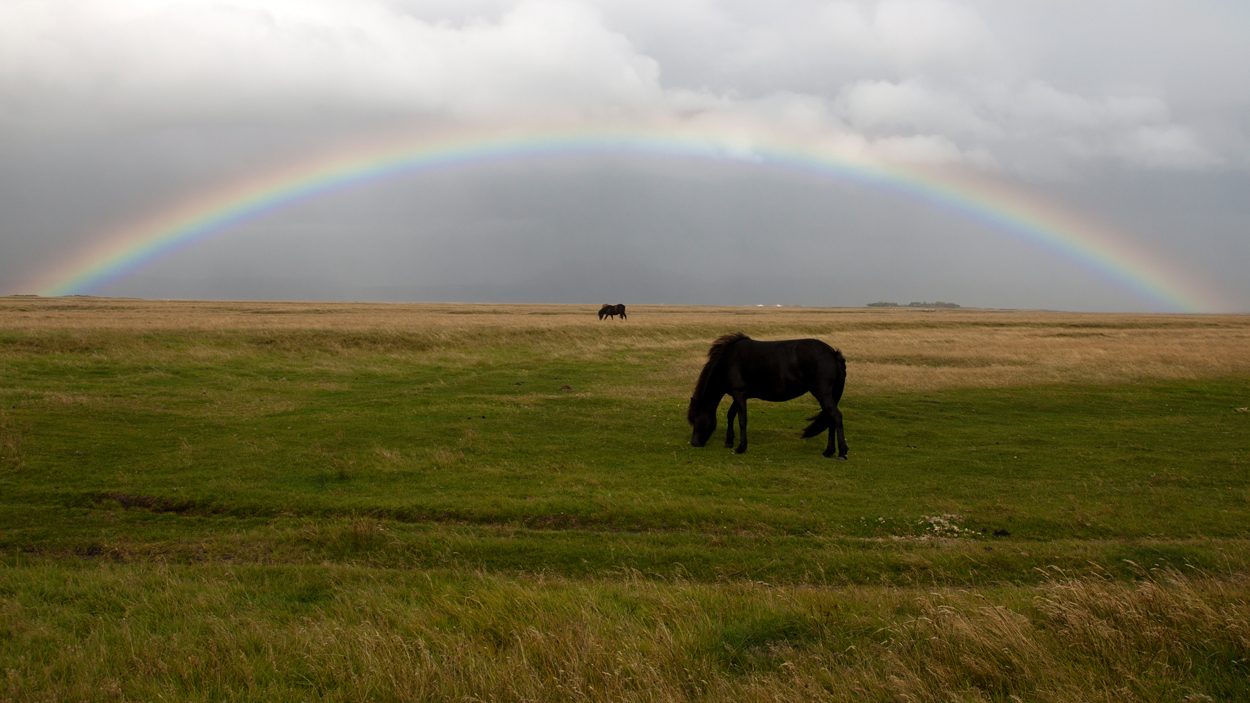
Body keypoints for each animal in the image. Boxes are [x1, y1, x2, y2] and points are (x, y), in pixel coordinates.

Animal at [685, 330, 850, 457]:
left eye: (695, 419)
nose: (694, 443)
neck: (727, 362)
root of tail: (833, 353)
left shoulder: (739, 394)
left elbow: (742, 420)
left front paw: (741, 447)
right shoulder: (739, 395)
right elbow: (731, 415)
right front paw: (729, 441)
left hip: (823, 394)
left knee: (835, 416)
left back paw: (842, 452)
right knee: (829, 418)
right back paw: (828, 451)